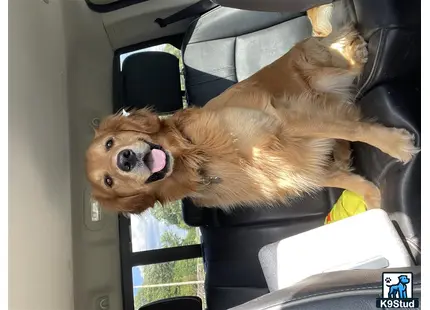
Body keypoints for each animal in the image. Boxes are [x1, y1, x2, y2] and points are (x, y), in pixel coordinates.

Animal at [85, 22, 418, 216]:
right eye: (109, 181)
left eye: (110, 143)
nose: (125, 159)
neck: (199, 155)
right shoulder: (298, 168)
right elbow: (352, 182)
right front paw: (374, 208)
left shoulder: (281, 119)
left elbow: (355, 129)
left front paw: (396, 145)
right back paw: (342, 152)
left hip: (320, 72)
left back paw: (355, 49)